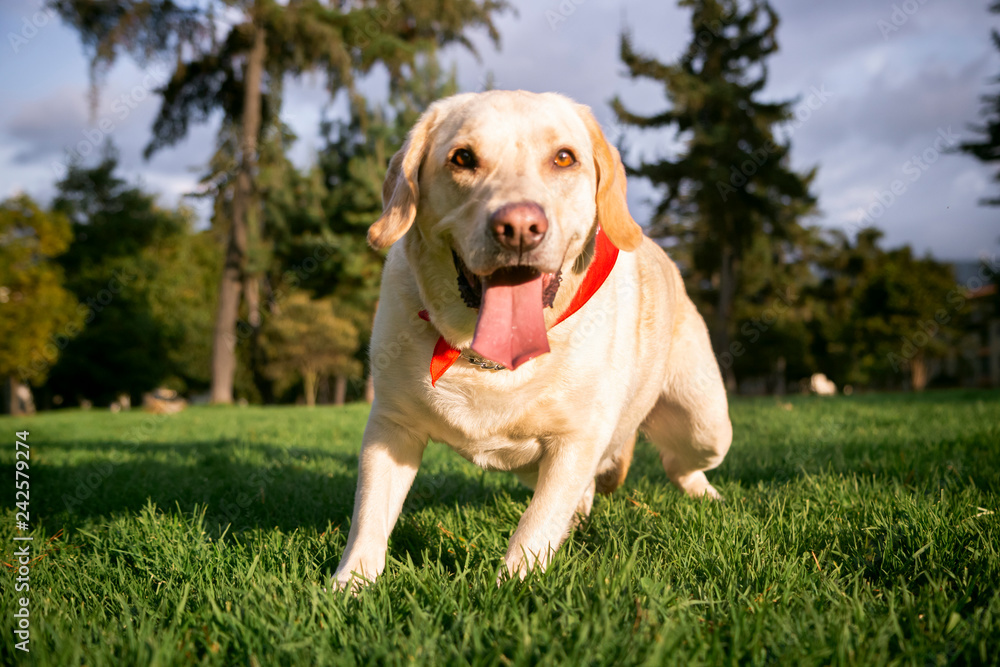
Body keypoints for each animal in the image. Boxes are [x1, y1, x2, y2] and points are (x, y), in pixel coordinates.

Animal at [332, 88, 732, 588]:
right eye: (462, 158)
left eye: (564, 158)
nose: (520, 227)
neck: (484, 357)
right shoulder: (391, 427)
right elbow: (369, 514)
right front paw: (351, 583)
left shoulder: (577, 439)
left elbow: (537, 521)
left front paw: (513, 584)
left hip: (705, 423)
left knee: (680, 464)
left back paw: (708, 498)